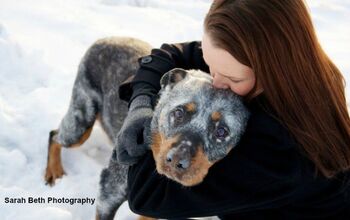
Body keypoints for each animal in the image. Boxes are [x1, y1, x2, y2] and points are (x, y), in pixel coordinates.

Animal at [43, 37, 250, 219]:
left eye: (221, 131)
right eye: (179, 112)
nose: (177, 160)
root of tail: (105, 38)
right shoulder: (109, 190)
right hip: (80, 123)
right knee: (54, 135)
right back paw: (54, 173)